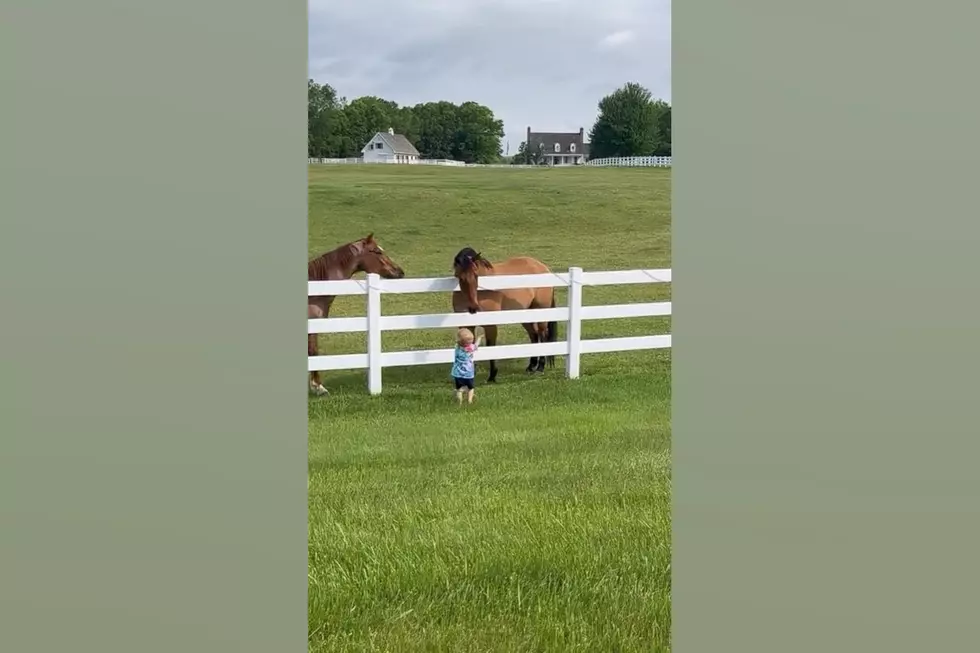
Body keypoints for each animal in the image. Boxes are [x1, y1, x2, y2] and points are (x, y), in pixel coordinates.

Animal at [454, 248, 560, 382]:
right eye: (459, 277)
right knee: (534, 335)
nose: (473, 307)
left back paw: (540, 367)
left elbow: (491, 346)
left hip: (541, 313)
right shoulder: (466, 326)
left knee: (543, 335)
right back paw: (531, 366)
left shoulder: (490, 325)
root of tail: (543, 267)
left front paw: (492, 376)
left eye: (476, 275)